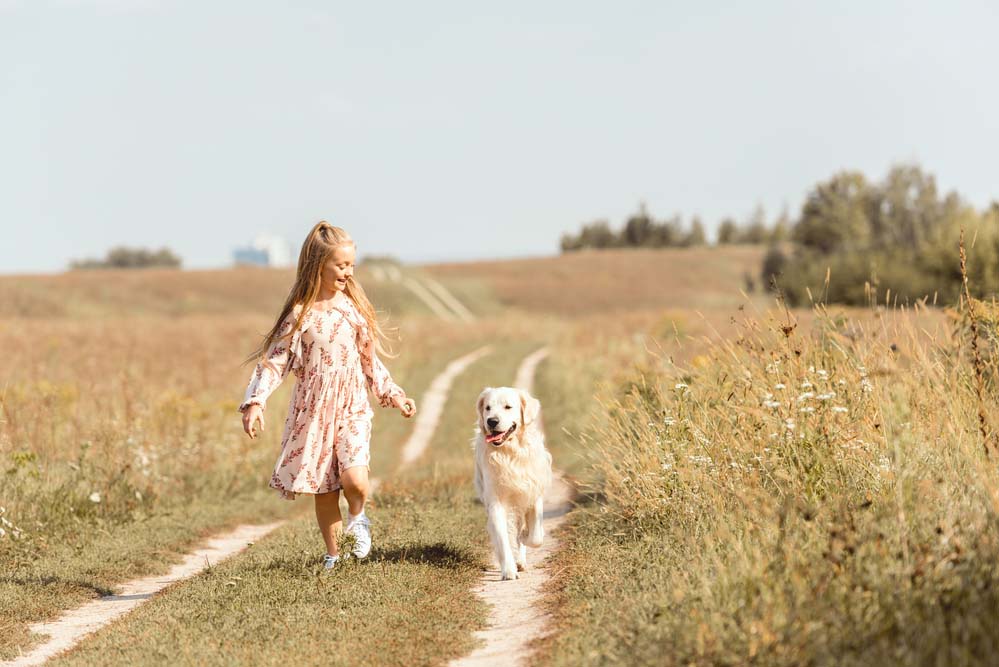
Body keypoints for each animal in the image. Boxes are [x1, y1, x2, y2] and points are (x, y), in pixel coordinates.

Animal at [470, 386, 552, 580]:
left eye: (508, 407)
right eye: (488, 408)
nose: (491, 421)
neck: (509, 453)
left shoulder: (533, 493)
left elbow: (535, 537)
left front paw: (525, 539)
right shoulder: (496, 502)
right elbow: (503, 537)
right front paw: (508, 569)